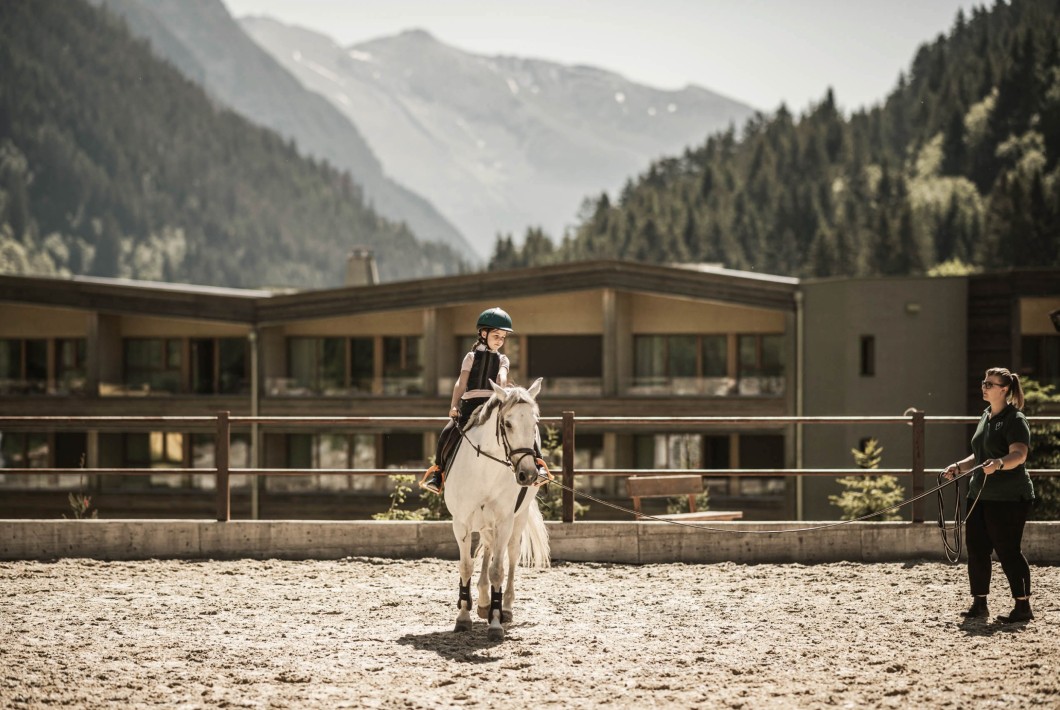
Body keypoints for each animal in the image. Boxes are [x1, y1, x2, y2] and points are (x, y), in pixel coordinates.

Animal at [442, 378, 551, 641]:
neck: (484, 468)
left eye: (535, 423)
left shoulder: (504, 521)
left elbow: (498, 571)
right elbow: (466, 566)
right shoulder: (461, 523)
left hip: (518, 517)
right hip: (483, 522)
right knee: (488, 548)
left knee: (511, 554)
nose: (528, 474)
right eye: (508, 423)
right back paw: (482, 601)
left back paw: (506, 608)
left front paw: (495, 622)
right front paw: (463, 617)